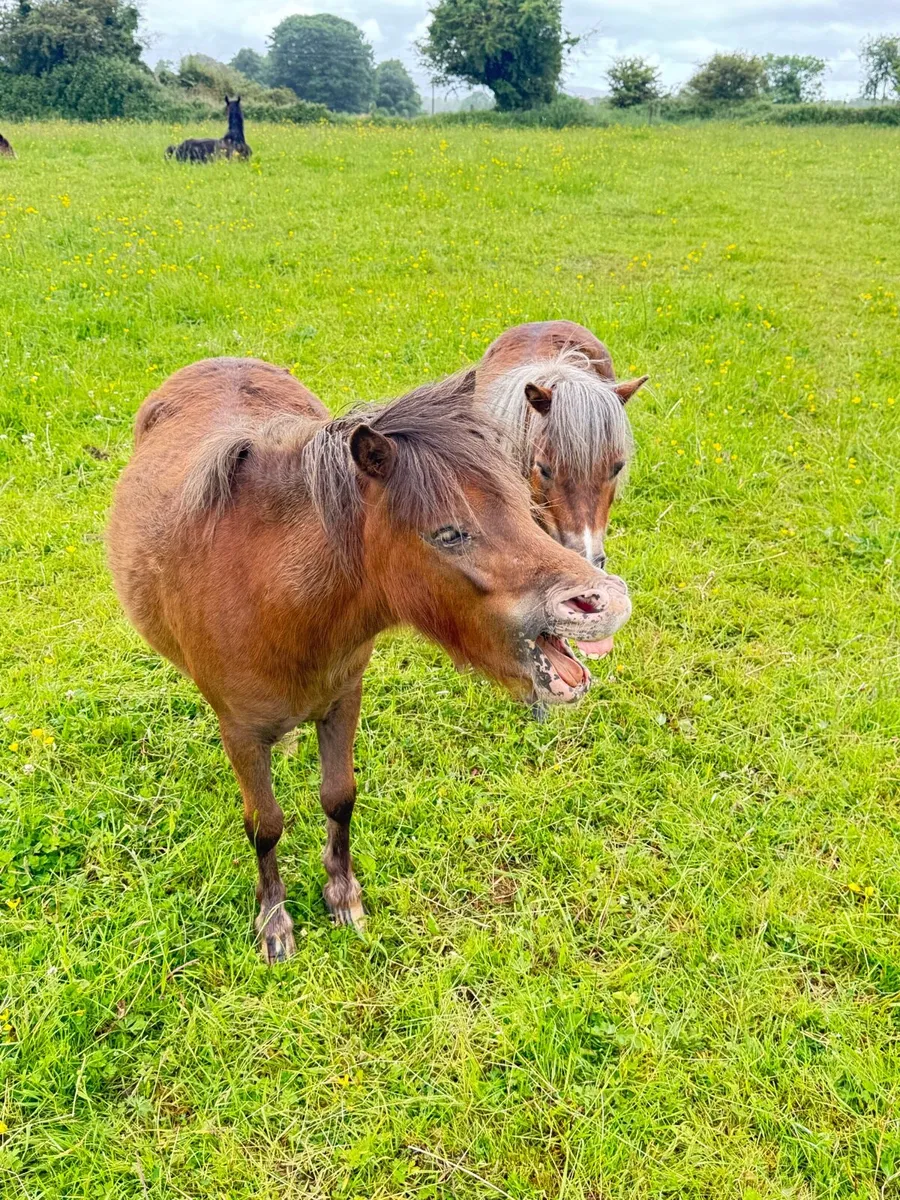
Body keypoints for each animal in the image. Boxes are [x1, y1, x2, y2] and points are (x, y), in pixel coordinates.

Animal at [108, 357, 631, 962]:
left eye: (526, 507)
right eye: (448, 534)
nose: (604, 600)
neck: (270, 595)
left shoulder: (342, 701)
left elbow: (339, 798)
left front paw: (343, 897)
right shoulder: (240, 731)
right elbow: (265, 825)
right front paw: (275, 923)